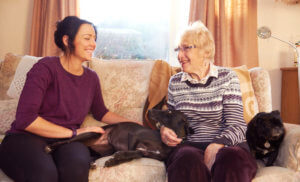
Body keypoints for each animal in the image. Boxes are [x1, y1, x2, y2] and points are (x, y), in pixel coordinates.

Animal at [45, 109, 190, 167]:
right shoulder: (134, 136)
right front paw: (118, 158)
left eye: (169, 112)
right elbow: (132, 152)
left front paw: (114, 160)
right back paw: (51, 147)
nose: (149, 110)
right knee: (67, 141)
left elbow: (137, 154)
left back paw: (92, 163)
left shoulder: (145, 153)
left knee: (93, 157)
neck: (162, 142)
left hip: (105, 151)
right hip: (92, 134)